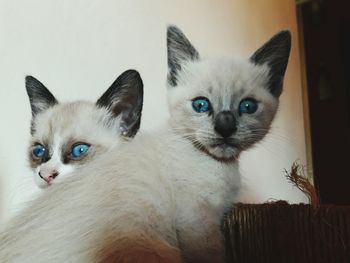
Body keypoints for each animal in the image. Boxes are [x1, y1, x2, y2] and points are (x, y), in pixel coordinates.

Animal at [0, 25, 290, 263]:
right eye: (39, 152)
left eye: (247, 107)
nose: (46, 175)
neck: (220, 164)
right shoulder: (197, 221)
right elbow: (209, 254)